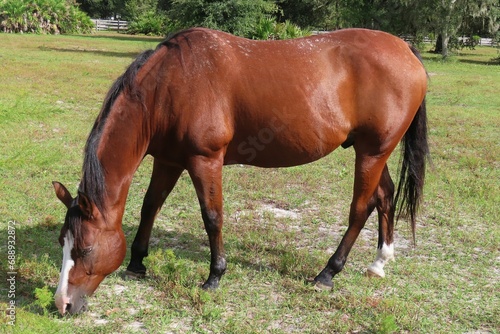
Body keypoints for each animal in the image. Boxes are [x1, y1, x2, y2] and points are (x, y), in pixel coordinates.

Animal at [52, 27, 428, 314]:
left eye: (85, 249)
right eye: (62, 242)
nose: (63, 304)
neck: (169, 84)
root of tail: (406, 50)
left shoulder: (205, 160)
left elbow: (212, 217)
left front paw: (214, 276)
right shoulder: (169, 160)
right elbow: (151, 206)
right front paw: (137, 262)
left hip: (371, 153)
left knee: (361, 209)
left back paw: (328, 273)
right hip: (373, 153)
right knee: (385, 196)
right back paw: (379, 262)